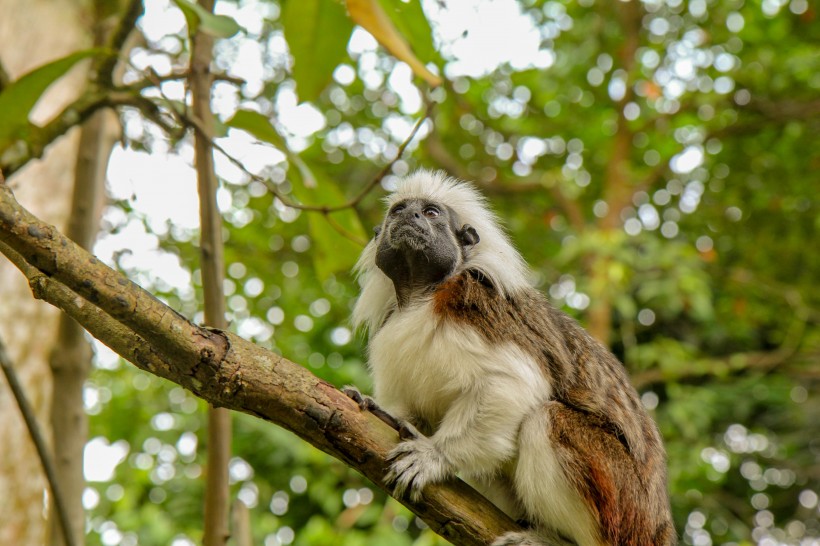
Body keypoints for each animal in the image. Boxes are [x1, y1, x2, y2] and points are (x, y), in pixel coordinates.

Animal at [344, 170, 672, 544]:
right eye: (398, 210)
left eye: (430, 212)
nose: (408, 217)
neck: (421, 297)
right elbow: (409, 412)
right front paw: (378, 410)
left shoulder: (474, 305)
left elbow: (515, 380)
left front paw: (435, 456)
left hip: (621, 502)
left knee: (547, 419)